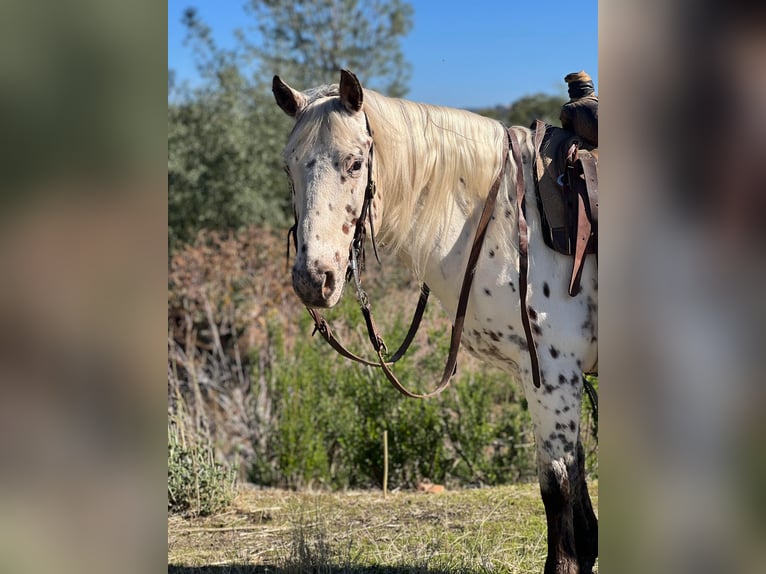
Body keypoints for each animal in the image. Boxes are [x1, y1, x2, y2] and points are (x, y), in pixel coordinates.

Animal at [272, 70, 604, 572]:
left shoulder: (553, 375)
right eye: (289, 168)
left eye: (354, 163)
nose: (313, 279)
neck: (509, 217)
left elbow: (559, 488)